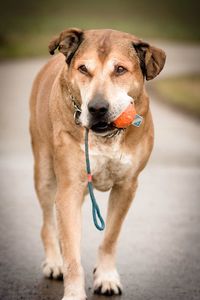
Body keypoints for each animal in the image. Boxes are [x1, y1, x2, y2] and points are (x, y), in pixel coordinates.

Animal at [28, 28, 166, 300]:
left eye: (120, 69)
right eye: (83, 69)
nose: (98, 108)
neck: (106, 137)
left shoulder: (127, 186)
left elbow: (111, 236)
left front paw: (106, 277)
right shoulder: (69, 188)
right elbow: (72, 254)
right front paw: (73, 292)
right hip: (45, 173)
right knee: (48, 222)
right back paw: (54, 261)